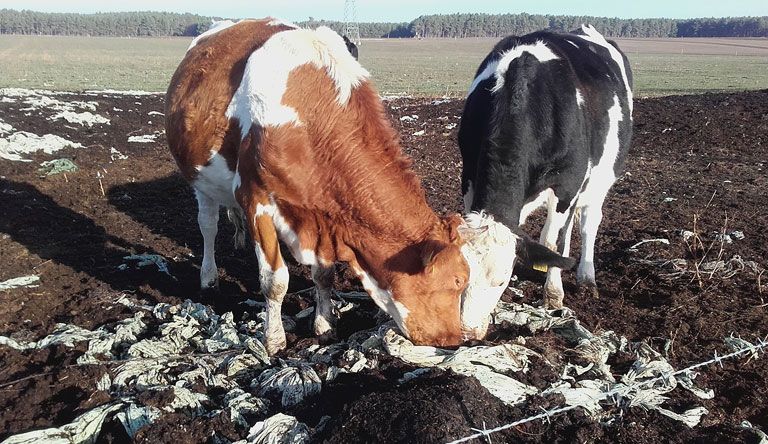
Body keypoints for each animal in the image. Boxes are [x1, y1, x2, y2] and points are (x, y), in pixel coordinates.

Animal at [165, 19, 472, 354]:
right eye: (458, 281)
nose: (454, 340)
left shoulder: (323, 216)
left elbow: (324, 275)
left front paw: (325, 325)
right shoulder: (254, 198)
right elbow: (275, 280)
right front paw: (274, 341)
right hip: (200, 180)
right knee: (208, 226)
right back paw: (208, 279)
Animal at [460, 24, 632, 320]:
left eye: (502, 280)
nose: (466, 327)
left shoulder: (567, 186)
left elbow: (551, 244)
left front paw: (553, 295)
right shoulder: (468, 177)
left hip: (602, 178)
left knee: (588, 225)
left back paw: (586, 277)